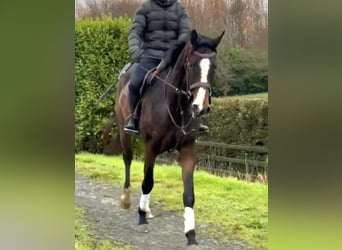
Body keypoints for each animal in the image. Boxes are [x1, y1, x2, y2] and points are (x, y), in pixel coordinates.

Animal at [115, 29, 224, 248]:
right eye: (191, 65)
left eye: (214, 66)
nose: (200, 107)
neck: (176, 105)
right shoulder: (151, 146)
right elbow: (147, 182)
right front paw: (141, 217)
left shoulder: (188, 148)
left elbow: (189, 194)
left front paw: (191, 234)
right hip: (125, 134)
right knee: (128, 160)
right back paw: (127, 199)